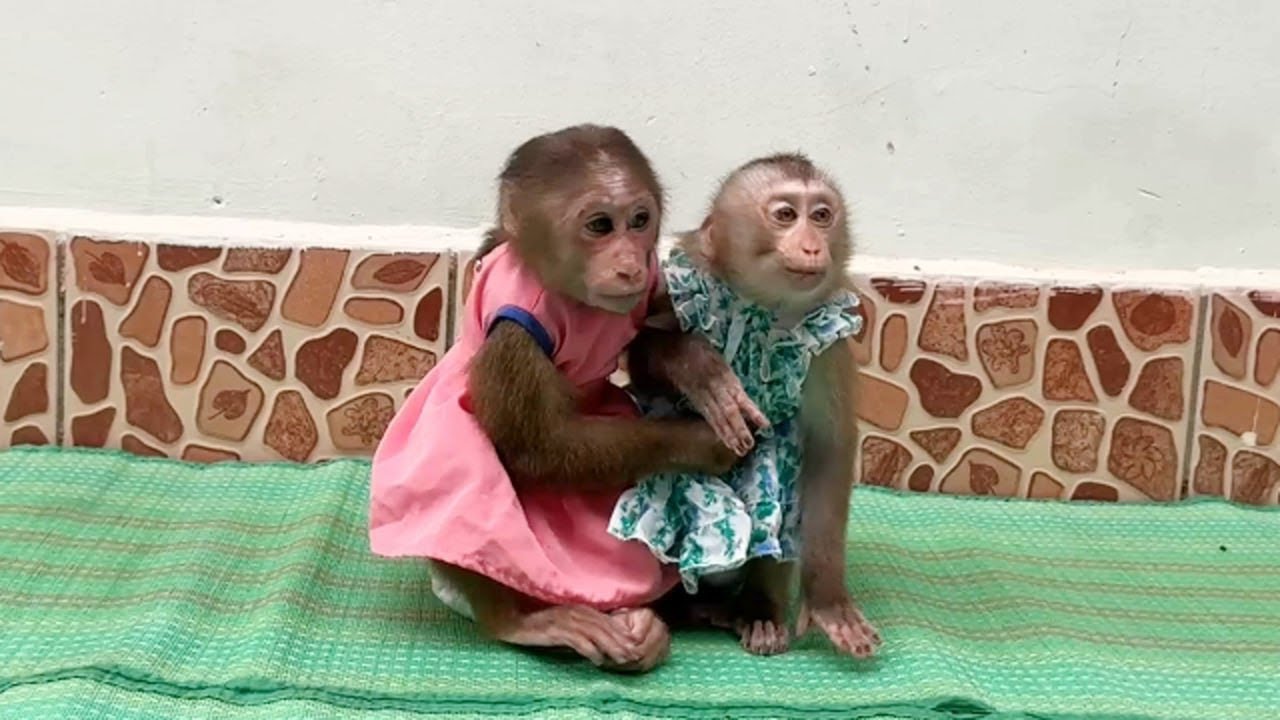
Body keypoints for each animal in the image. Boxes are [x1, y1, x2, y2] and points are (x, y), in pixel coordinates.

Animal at [368, 124, 769, 673]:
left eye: (639, 221)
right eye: (600, 225)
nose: (628, 264)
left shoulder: (650, 287)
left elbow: (647, 355)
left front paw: (697, 369)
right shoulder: (514, 333)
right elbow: (535, 449)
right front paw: (701, 443)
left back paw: (680, 614)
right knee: (465, 466)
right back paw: (524, 620)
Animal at [622, 153, 882, 659]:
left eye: (822, 215)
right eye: (785, 214)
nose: (812, 245)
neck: (762, 309)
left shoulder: (829, 352)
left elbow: (829, 449)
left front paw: (827, 600)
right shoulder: (681, 290)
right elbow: (642, 357)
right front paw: (702, 372)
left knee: (779, 465)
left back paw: (758, 610)